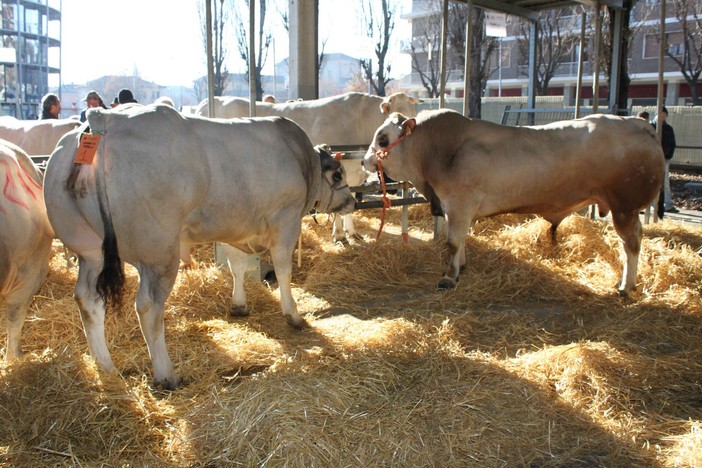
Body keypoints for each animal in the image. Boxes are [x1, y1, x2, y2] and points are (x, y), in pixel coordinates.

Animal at [44, 104, 358, 390]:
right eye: (338, 175)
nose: (353, 202)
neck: (301, 159)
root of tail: (103, 120)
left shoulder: (236, 226)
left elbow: (237, 266)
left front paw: (239, 305)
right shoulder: (286, 218)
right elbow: (283, 269)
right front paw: (293, 314)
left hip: (89, 250)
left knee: (88, 301)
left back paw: (106, 367)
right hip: (158, 253)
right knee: (148, 307)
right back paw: (166, 375)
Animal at [195, 90, 420, 241]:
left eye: (414, 112)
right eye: (395, 115)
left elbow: (348, 206)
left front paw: (352, 232)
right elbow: (340, 207)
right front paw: (340, 235)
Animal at [366, 109, 668, 296]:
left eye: (382, 137)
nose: (366, 160)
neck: (437, 150)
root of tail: (638, 123)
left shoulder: (459, 203)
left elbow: (453, 242)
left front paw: (449, 277)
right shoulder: (455, 209)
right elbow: (461, 241)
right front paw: (461, 267)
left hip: (624, 207)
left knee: (631, 244)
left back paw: (625, 287)